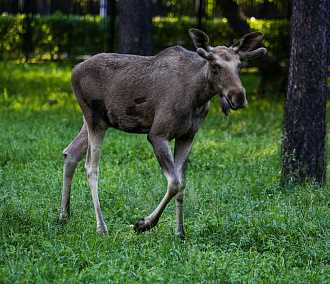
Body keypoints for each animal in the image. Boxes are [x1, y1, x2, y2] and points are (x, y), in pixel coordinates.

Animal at [58, 28, 266, 237]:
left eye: (240, 65)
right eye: (215, 66)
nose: (238, 97)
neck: (197, 97)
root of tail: (73, 71)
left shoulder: (187, 136)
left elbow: (182, 184)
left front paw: (180, 232)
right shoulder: (157, 134)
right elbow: (174, 183)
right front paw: (144, 224)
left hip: (97, 121)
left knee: (70, 152)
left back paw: (64, 215)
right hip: (94, 119)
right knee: (91, 167)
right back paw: (101, 226)